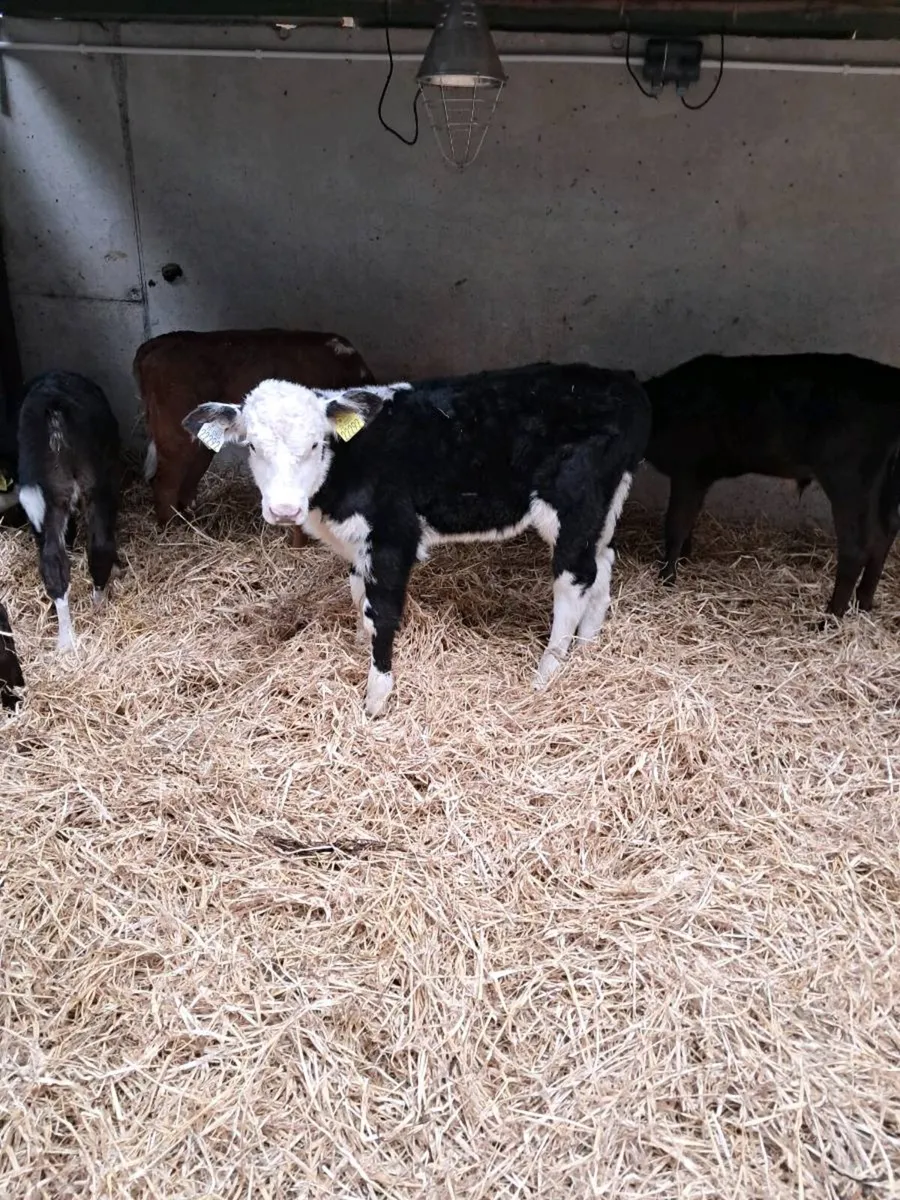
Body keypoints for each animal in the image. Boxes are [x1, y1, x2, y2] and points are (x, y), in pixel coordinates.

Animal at [17, 371, 122, 651]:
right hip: (94, 484)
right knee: (99, 547)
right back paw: (97, 606)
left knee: (53, 561)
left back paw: (65, 641)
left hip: (54, 494)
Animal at [182, 363, 651, 716]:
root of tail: (621, 380)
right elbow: (359, 597)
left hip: (574, 499)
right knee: (602, 565)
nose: (283, 510)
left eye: (316, 444)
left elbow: (382, 612)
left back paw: (547, 672)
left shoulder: (393, 535)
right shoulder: (358, 545)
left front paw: (375, 700)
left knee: (574, 580)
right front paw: (358, 645)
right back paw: (587, 649)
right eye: (252, 447)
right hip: (603, 506)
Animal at [644, 353, 900, 617]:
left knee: (856, 547)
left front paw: (666, 577)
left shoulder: (688, 472)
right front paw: (684, 558)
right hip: (886, 479)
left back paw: (830, 617)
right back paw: (864, 603)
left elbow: (676, 524)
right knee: (887, 530)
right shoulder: (699, 478)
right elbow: (689, 521)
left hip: (848, 479)